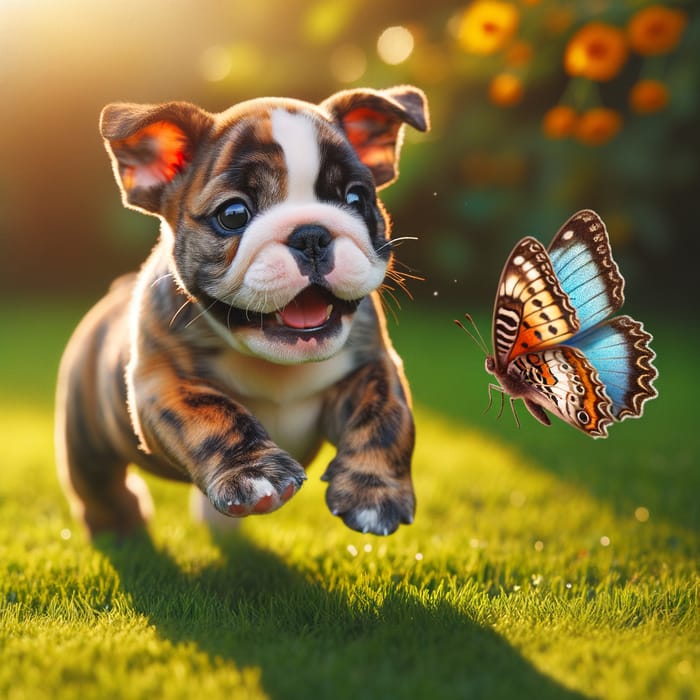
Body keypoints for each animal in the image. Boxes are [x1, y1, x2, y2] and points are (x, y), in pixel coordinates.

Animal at [54, 86, 426, 536]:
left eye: (356, 198)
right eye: (233, 215)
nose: (311, 235)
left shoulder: (372, 364)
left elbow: (386, 417)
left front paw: (374, 493)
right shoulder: (166, 383)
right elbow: (215, 415)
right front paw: (253, 473)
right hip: (84, 437)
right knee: (94, 483)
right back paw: (120, 521)